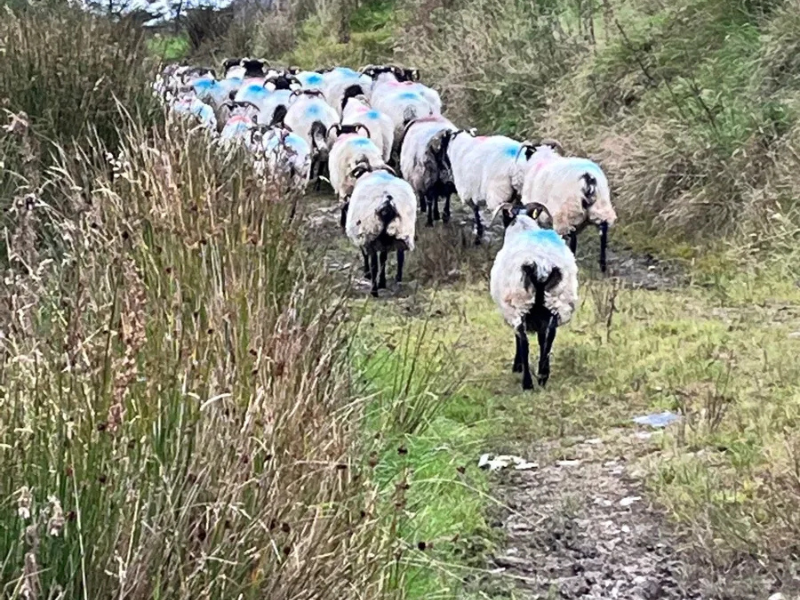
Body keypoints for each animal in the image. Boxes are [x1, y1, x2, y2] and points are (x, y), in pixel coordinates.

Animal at [345, 163, 416, 297]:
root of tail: (387, 203)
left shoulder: (365, 237)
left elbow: (367, 256)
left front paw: (367, 274)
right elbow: (383, 259)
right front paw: (382, 282)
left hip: (372, 230)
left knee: (375, 264)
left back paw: (374, 290)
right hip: (400, 231)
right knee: (397, 258)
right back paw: (394, 281)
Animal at [489, 202, 579, 391]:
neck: (523, 227)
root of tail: (540, 264)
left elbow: (519, 339)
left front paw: (517, 366)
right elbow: (542, 338)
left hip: (520, 302)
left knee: (524, 342)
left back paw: (527, 382)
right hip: (556, 300)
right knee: (550, 336)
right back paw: (543, 375)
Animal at [519, 141, 617, 272]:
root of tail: (588, 178)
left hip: (566, 212)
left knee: (572, 238)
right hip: (601, 206)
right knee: (603, 231)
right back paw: (602, 266)